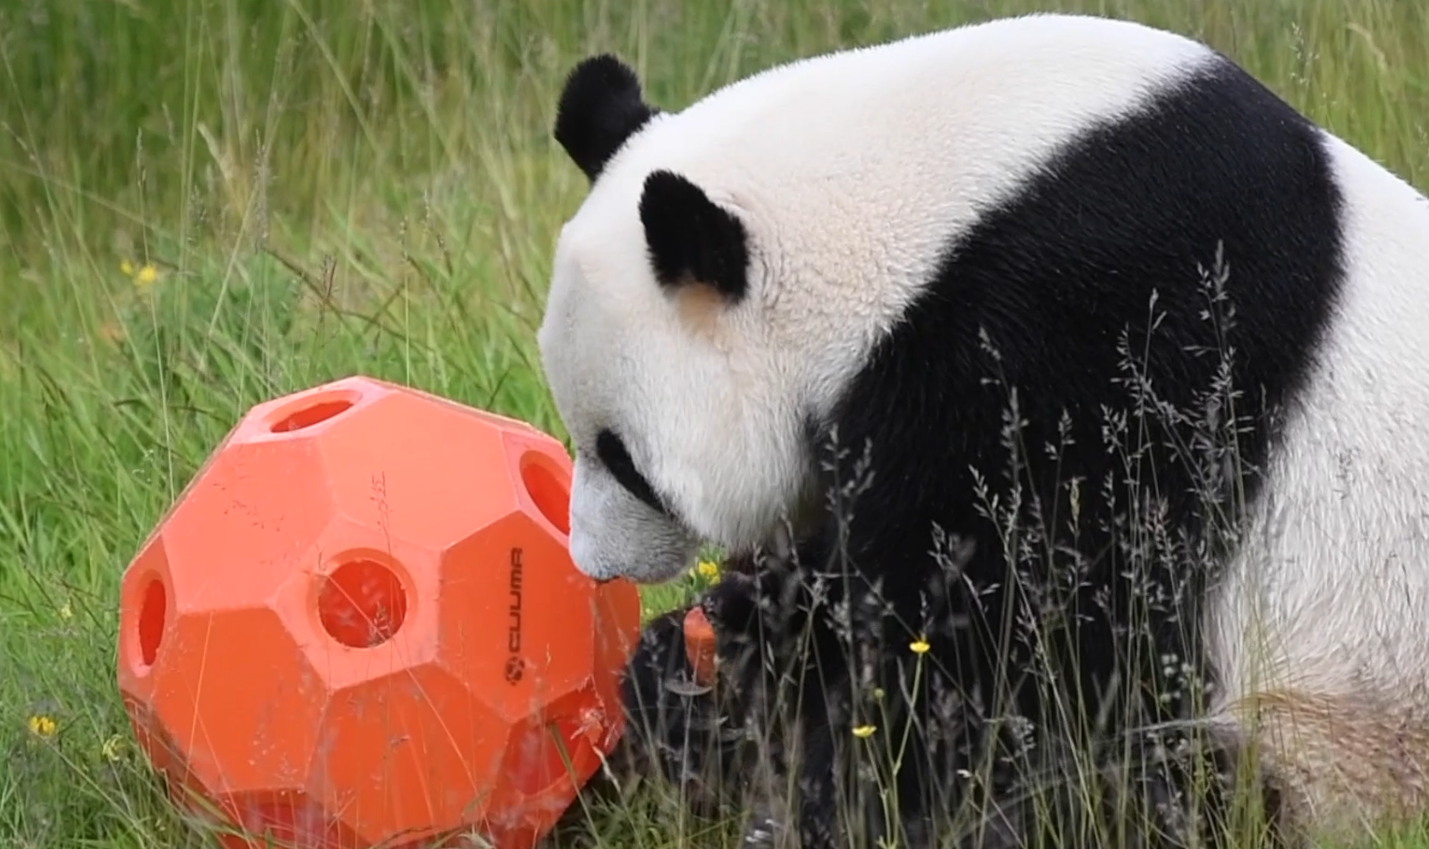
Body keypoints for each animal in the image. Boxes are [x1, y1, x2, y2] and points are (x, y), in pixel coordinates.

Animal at [537, 11, 1429, 846]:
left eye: (625, 460)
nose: (595, 564)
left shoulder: (1103, 330)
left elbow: (1021, 632)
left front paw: (838, 790)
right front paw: (704, 670)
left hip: (1344, 727)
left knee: (1166, 790)